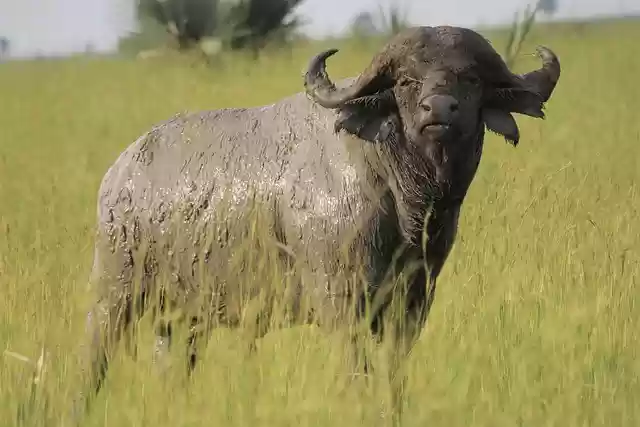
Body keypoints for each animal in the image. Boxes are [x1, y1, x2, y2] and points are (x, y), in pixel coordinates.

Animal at [74, 25, 560, 420]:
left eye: (471, 78)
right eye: (406, 80)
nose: (438, 109)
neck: (401, 194)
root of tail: (121, 171)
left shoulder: (413, 300)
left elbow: (393, 374)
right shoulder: (342, 303)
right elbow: (356, 373)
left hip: (181, 319)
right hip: (114, 294)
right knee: (94, 360)